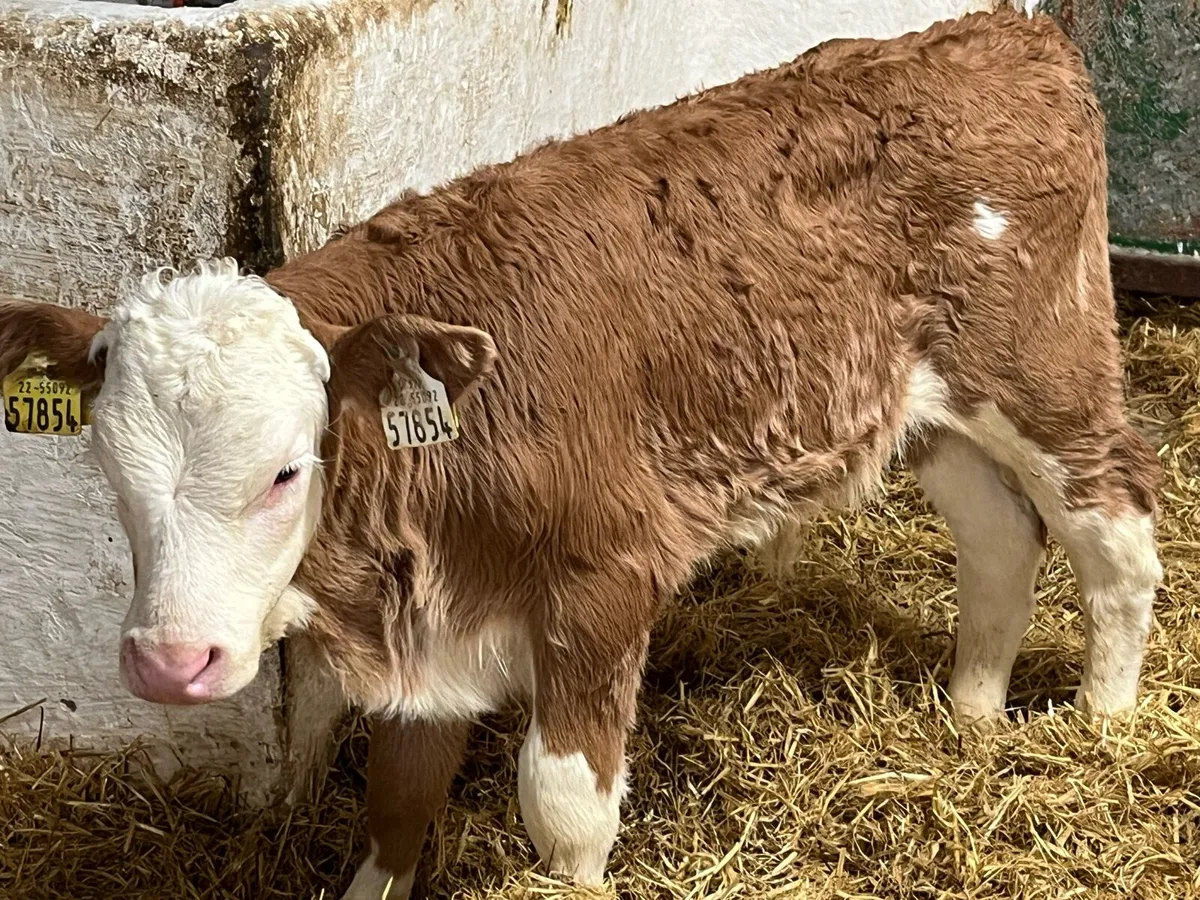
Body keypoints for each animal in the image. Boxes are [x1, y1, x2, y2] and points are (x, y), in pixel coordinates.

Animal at [0, 8, 1162, 898]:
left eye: (288, 469)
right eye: (109, 474)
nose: (169, 662)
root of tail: (1001, 33)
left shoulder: (607, 575)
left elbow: (561, 804)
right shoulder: (435, 631)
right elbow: (398, 802)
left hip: (1043, 368)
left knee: (1116, 531)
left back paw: (1101, 726)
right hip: (927, 410)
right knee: (1003, 537)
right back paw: (971, 715)